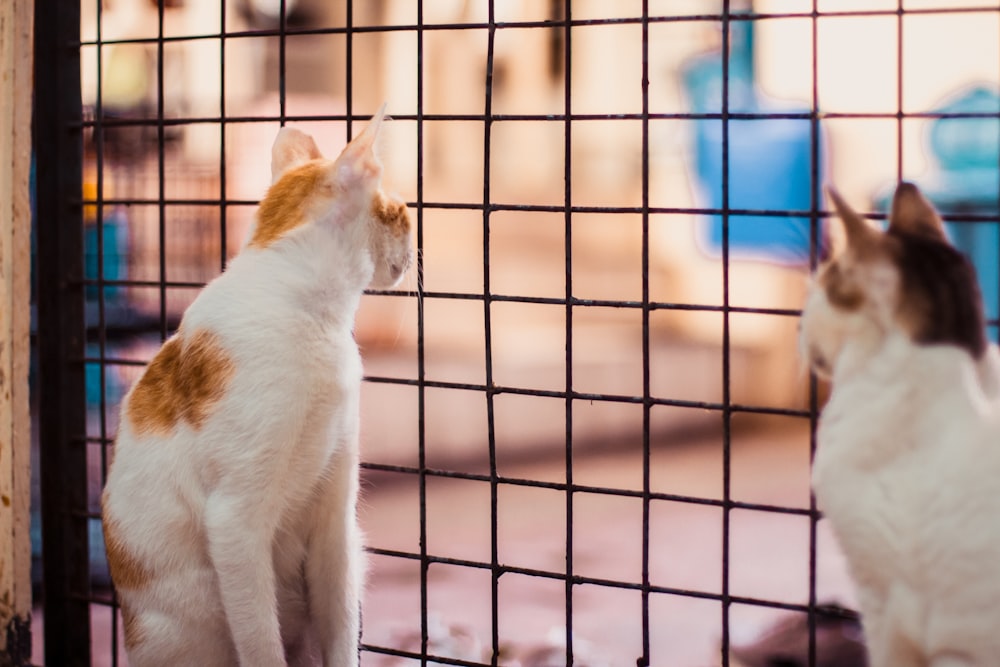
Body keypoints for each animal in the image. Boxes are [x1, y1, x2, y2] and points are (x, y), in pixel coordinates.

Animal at [99, 107, 412, 664]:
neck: (314, 317)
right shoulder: (235, 519)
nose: (417, 233)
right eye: (398, 211)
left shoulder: (336, 517)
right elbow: (261, 641)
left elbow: (339, 622)